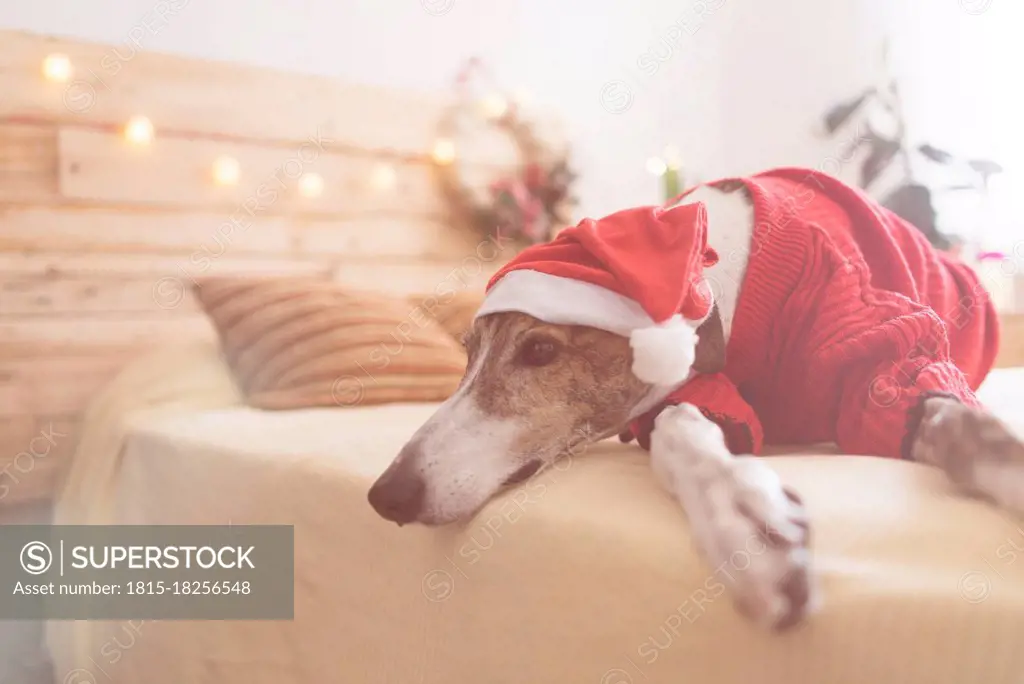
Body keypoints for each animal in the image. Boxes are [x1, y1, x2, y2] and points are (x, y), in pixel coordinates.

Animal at [364, 166, 1019, 630]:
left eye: (542, 350)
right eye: (466, 352)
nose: (385, 494)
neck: (718, 277)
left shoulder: (878, 349)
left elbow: (942, 412)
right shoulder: (686, 394)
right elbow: (681, 427)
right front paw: (743, 515)